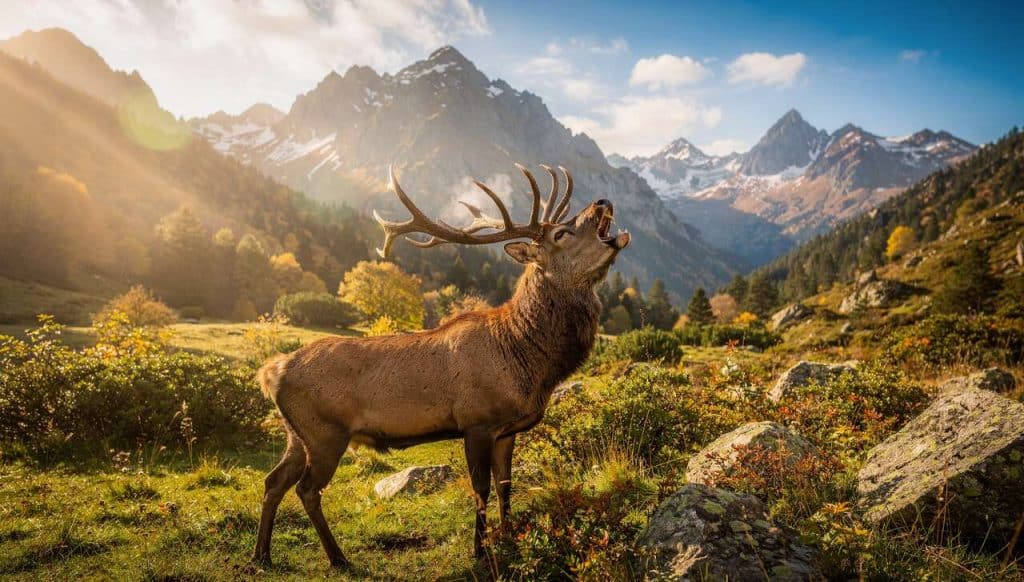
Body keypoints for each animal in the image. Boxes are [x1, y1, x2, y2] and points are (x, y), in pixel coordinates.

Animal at [251, 163, 630, 568]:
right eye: (562, 233)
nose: (602, 201)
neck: (527, 360)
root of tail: (273, 372)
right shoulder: (476, 422)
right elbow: (481, 489)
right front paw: (481, 552)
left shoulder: (507, 430)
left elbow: (506, 485)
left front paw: (509, 540)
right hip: (325, 432)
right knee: (307, 489)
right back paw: (338, 558)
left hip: (297, 434)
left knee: (273, 481)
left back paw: (262, 555)